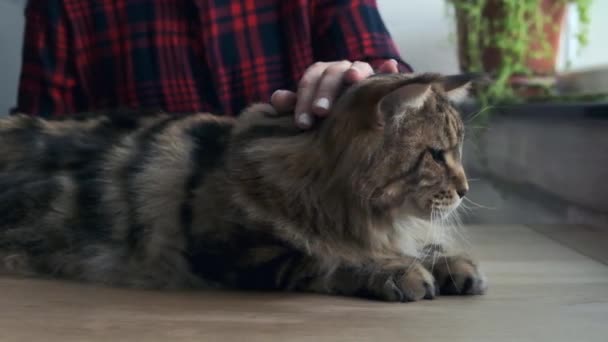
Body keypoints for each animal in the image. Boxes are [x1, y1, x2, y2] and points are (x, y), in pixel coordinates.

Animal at [0, 73, 484, 302]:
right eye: (437, 155)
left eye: (458, 151)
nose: (464, 189)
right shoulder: (237, 253)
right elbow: (327, 257)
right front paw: (395, 270)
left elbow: (418, 247)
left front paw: (448, 263)